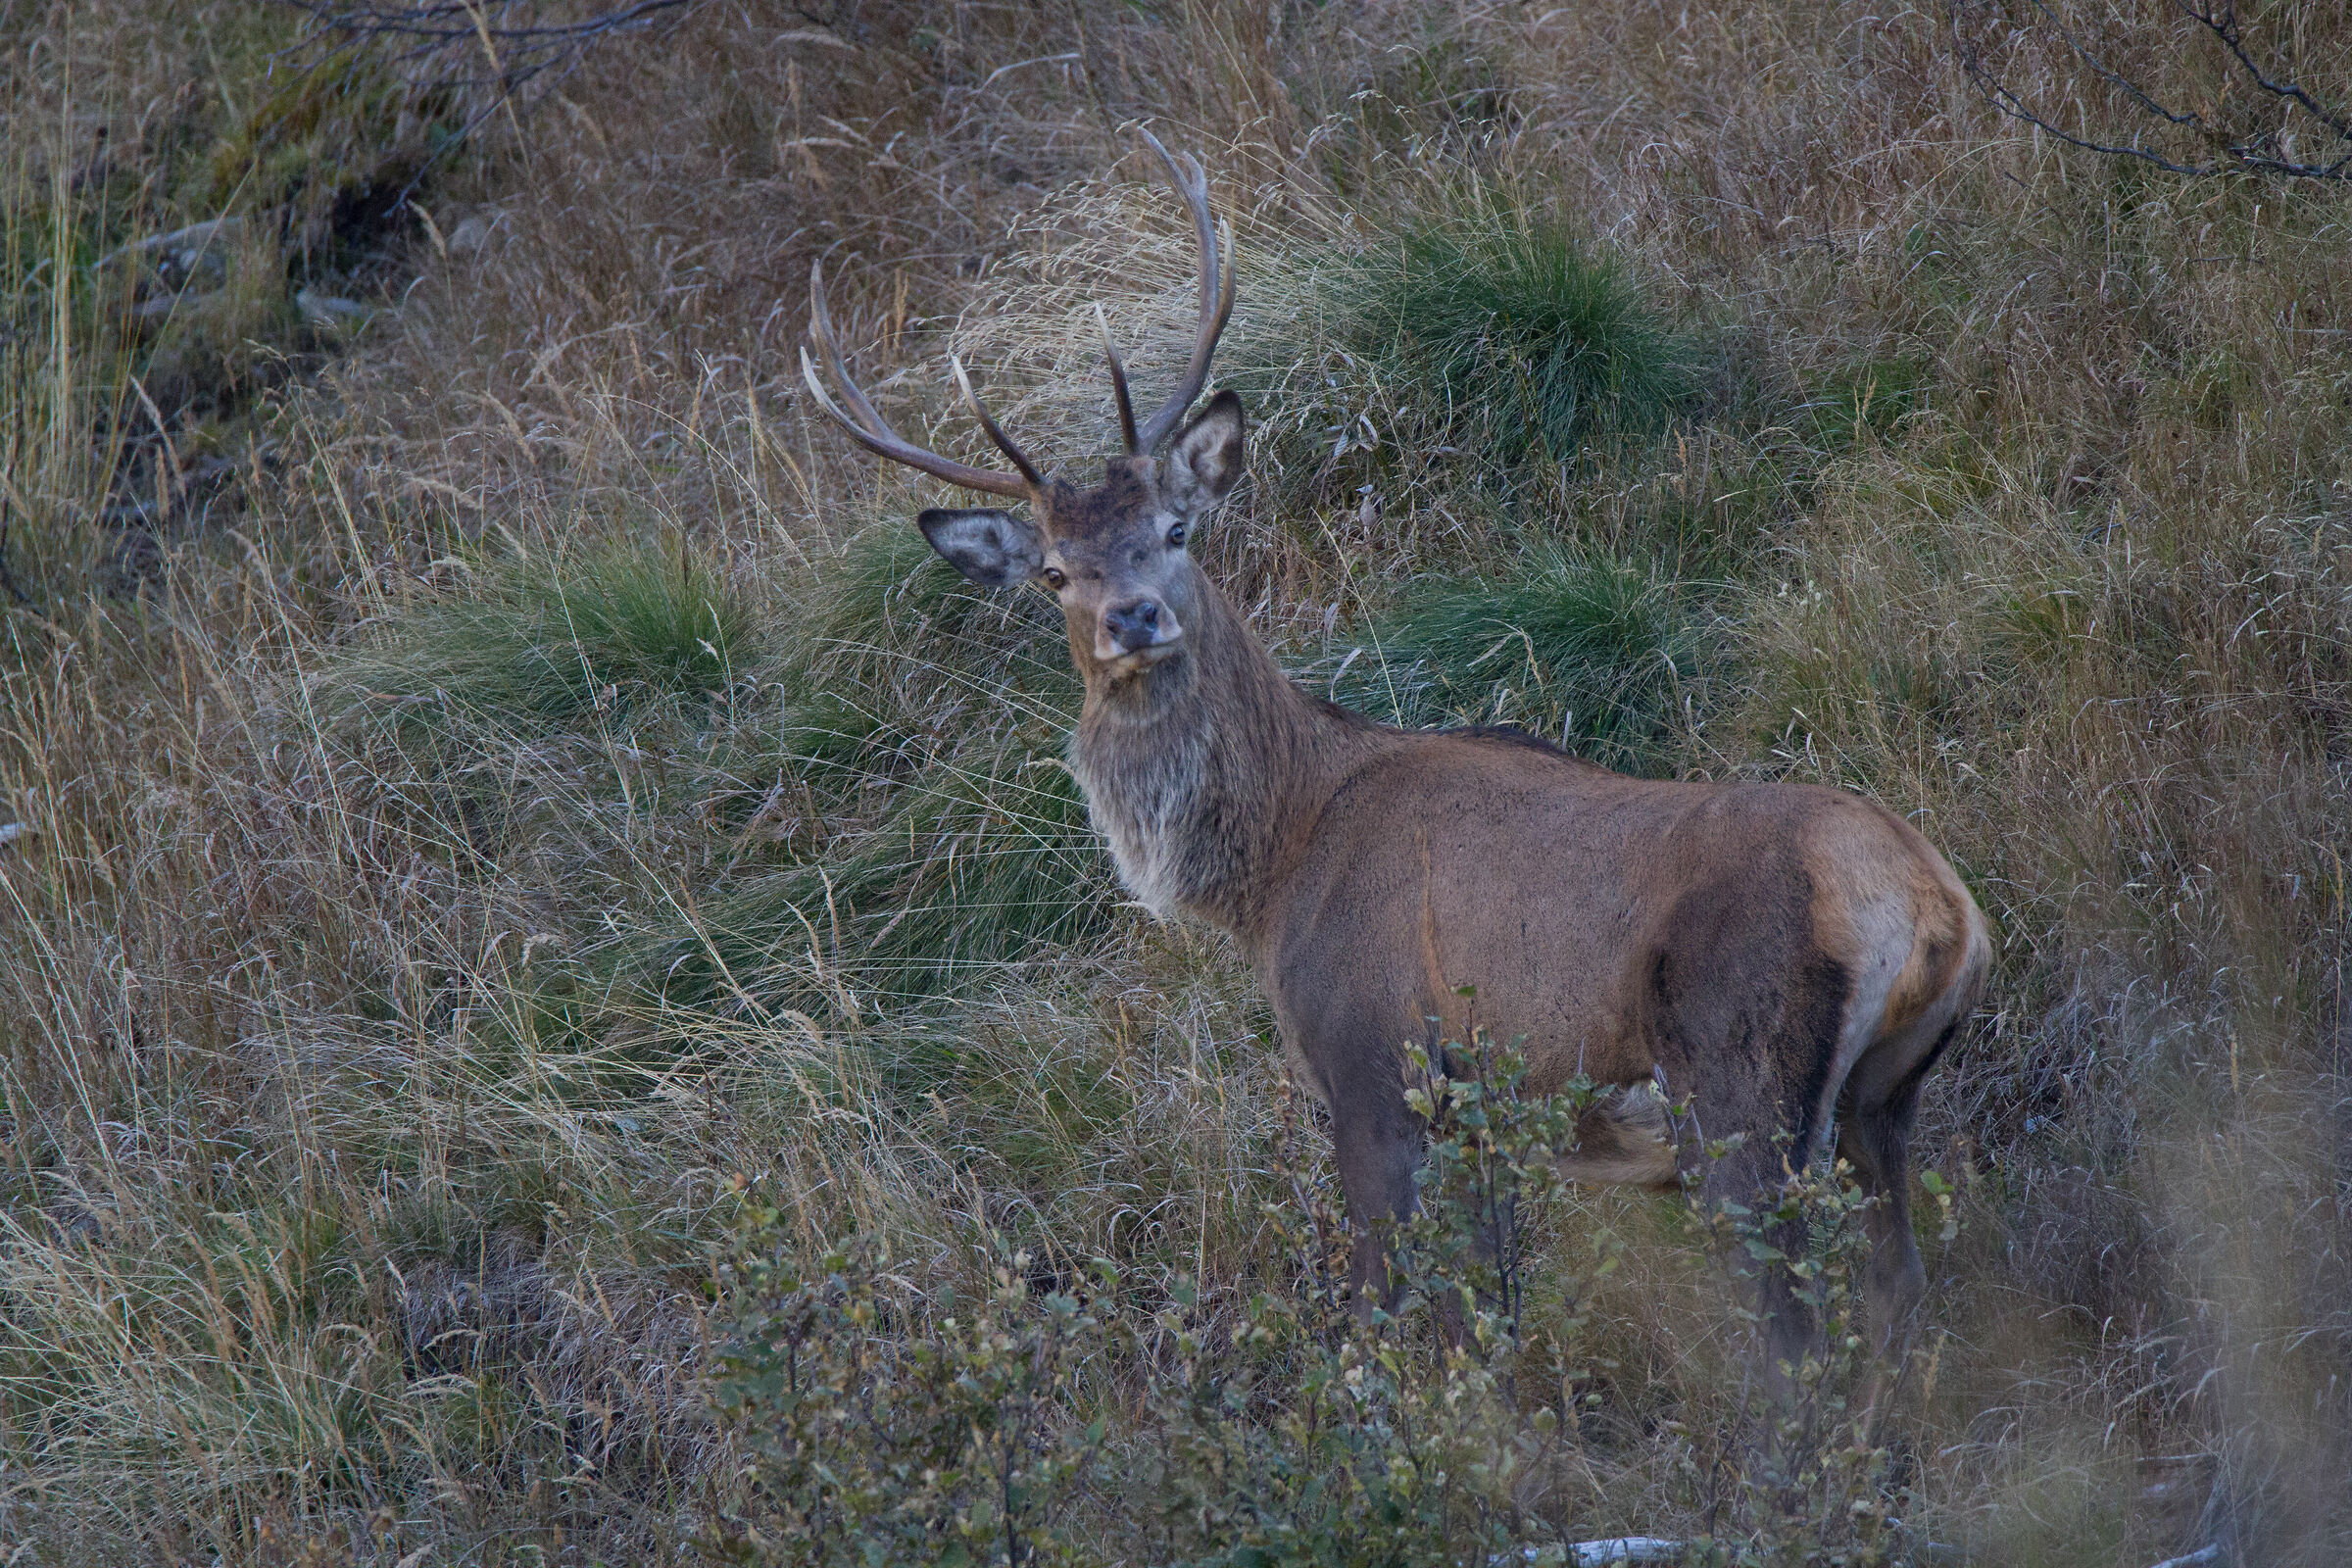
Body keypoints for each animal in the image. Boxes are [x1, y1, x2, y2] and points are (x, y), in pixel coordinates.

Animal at [798, 130, 1991, 1376]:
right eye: (1051, 572)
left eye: (1174, 529)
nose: (1133, 616)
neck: (1276, 863)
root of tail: (1934, 905)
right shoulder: (1479, 1126)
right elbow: (1487, 1316)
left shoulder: (1371, 1065)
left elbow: (1384, 1322)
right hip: (1879, 1102)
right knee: (1902, 1291)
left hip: (1738, 1091)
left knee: (1792, 1346)